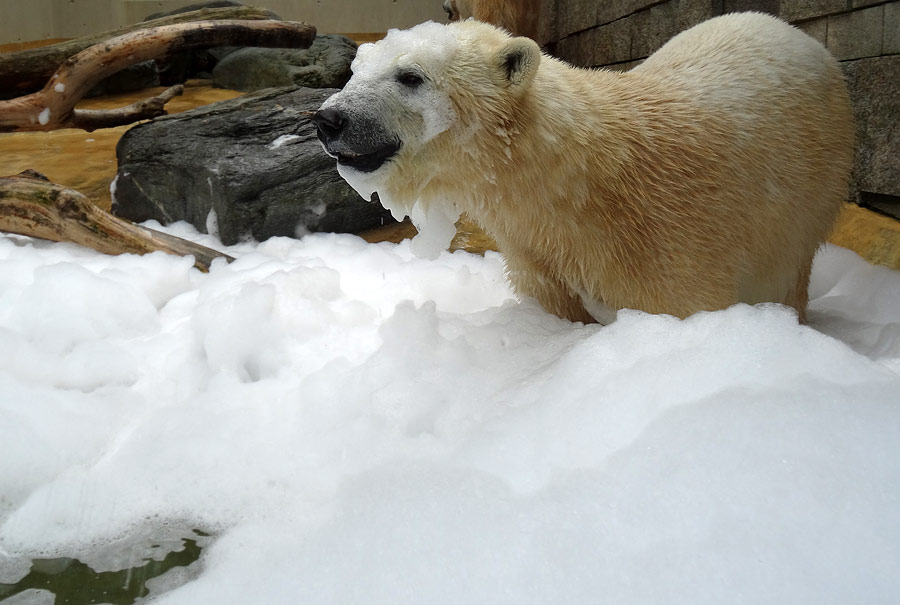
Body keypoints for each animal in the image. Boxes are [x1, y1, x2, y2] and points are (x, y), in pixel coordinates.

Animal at [314, 11, 852, 324]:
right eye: (357, 69)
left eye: (410, 76)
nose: (329, 120)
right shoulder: (535, 248)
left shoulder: (675, 237)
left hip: (808, 193)